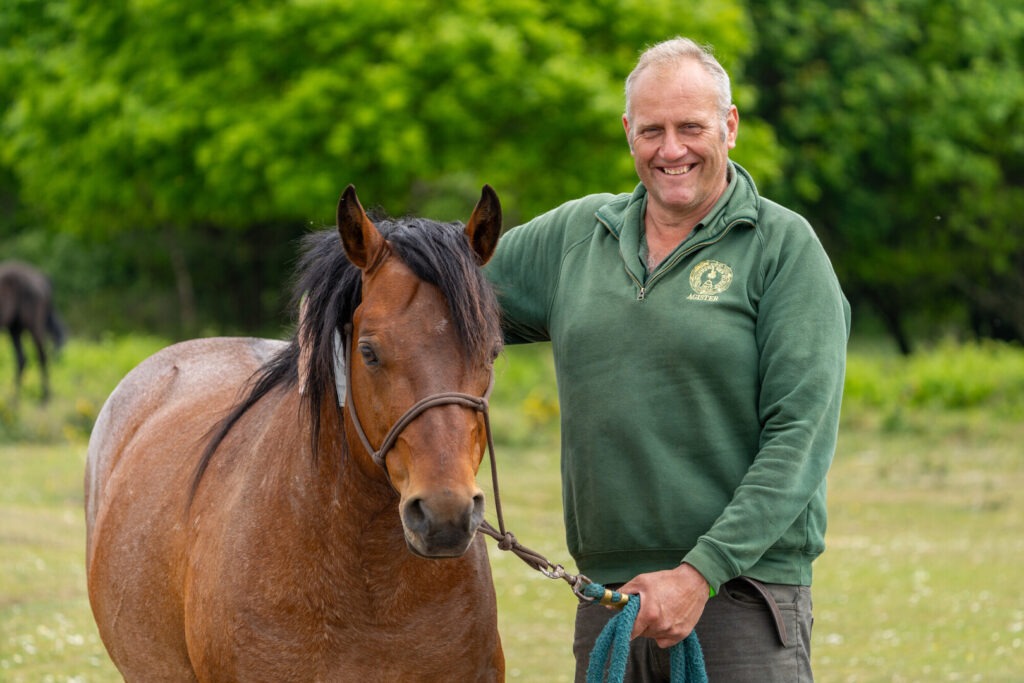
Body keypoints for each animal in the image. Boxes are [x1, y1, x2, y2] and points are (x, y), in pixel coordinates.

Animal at [0, 260, 66, 401]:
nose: (59, 358)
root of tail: (41, 278)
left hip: (33, 326)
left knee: (42, 355)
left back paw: (44, 396)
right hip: (15, 328)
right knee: (22, 359)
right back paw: (14, 399)